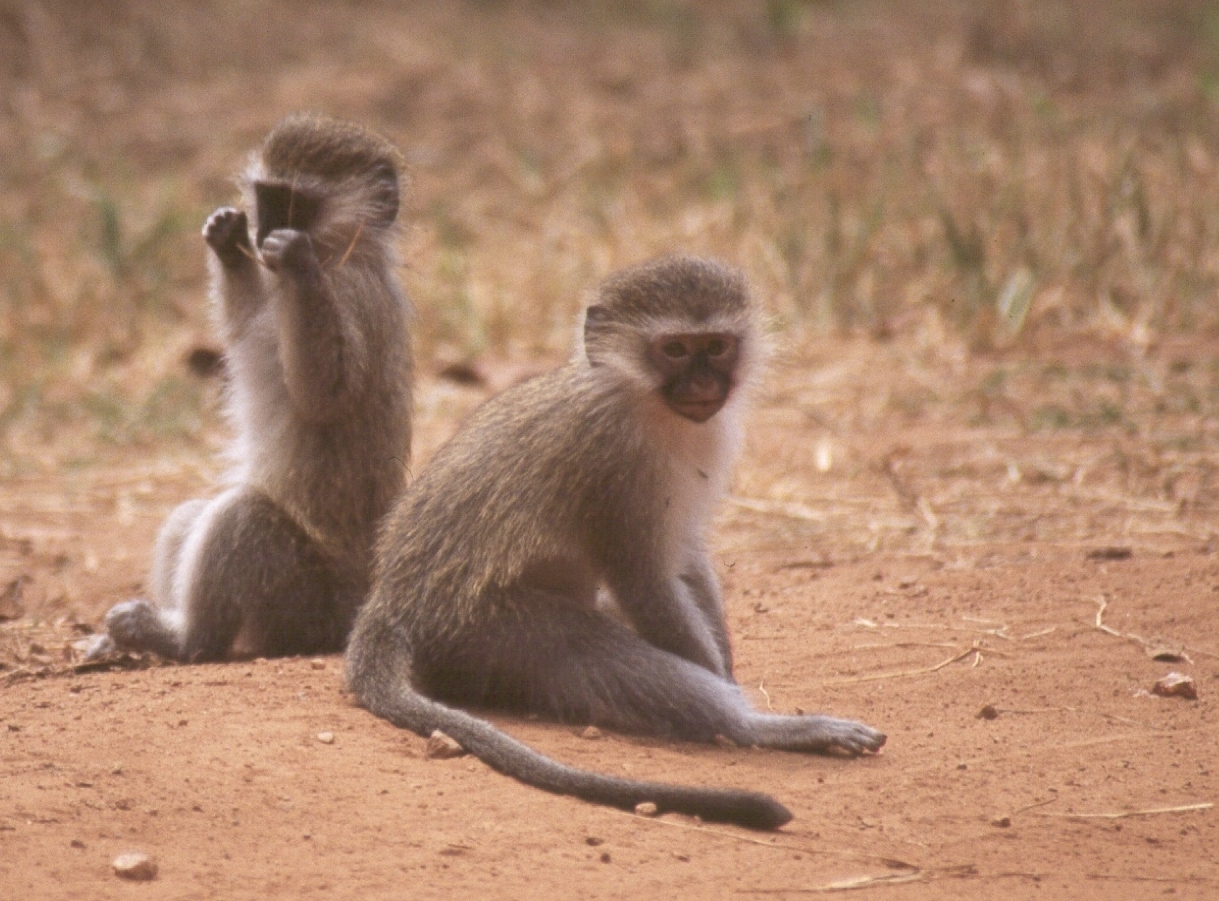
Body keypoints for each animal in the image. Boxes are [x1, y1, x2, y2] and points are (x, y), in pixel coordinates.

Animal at [90, 114, 414, 663]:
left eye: (296, 203)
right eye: (266, 196)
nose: (263, 231)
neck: (340, 256)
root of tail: (357, 599)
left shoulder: (357, 296)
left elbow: (327, 394)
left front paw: (298, 263)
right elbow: (243, 324)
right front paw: (226, 238)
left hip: (303, 598)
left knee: (240, 517)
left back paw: (182, 639)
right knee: (190, 516)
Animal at [346, 253, 887, 833]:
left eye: (716, 345)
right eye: (674, 350)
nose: (702, 382)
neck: (640, 399)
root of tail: (388, 604)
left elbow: (685, 554)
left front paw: (728, 667)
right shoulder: (613, 461)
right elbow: (643, 577)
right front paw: (733, 692)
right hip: (489, 630)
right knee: (603, 654)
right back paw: (760, 728)